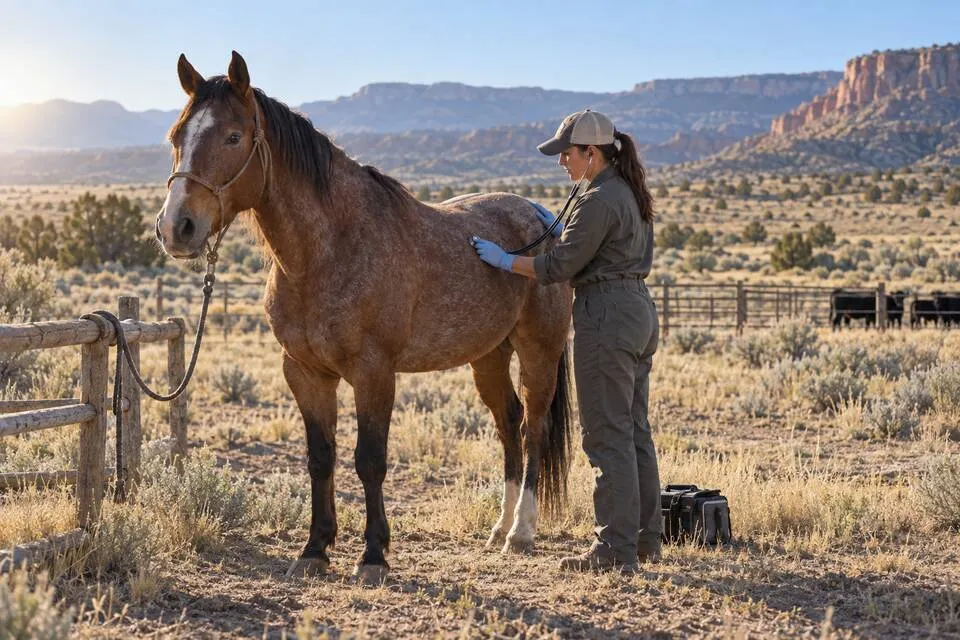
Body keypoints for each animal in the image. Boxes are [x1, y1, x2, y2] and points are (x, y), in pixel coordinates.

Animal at [155, 51, 574, 583]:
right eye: (176, 137)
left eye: (232, 137)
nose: (176, 228)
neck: (328, 251)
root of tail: (544, 218)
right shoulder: (305, 372)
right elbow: (321, 458)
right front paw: (315, 549)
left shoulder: (374, 373)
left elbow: (369, 461)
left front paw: (373, 555)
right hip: (488, 357)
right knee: (509, 423)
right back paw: (498, 528)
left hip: (539, 350)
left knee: (532, 427)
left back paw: (520, 532)